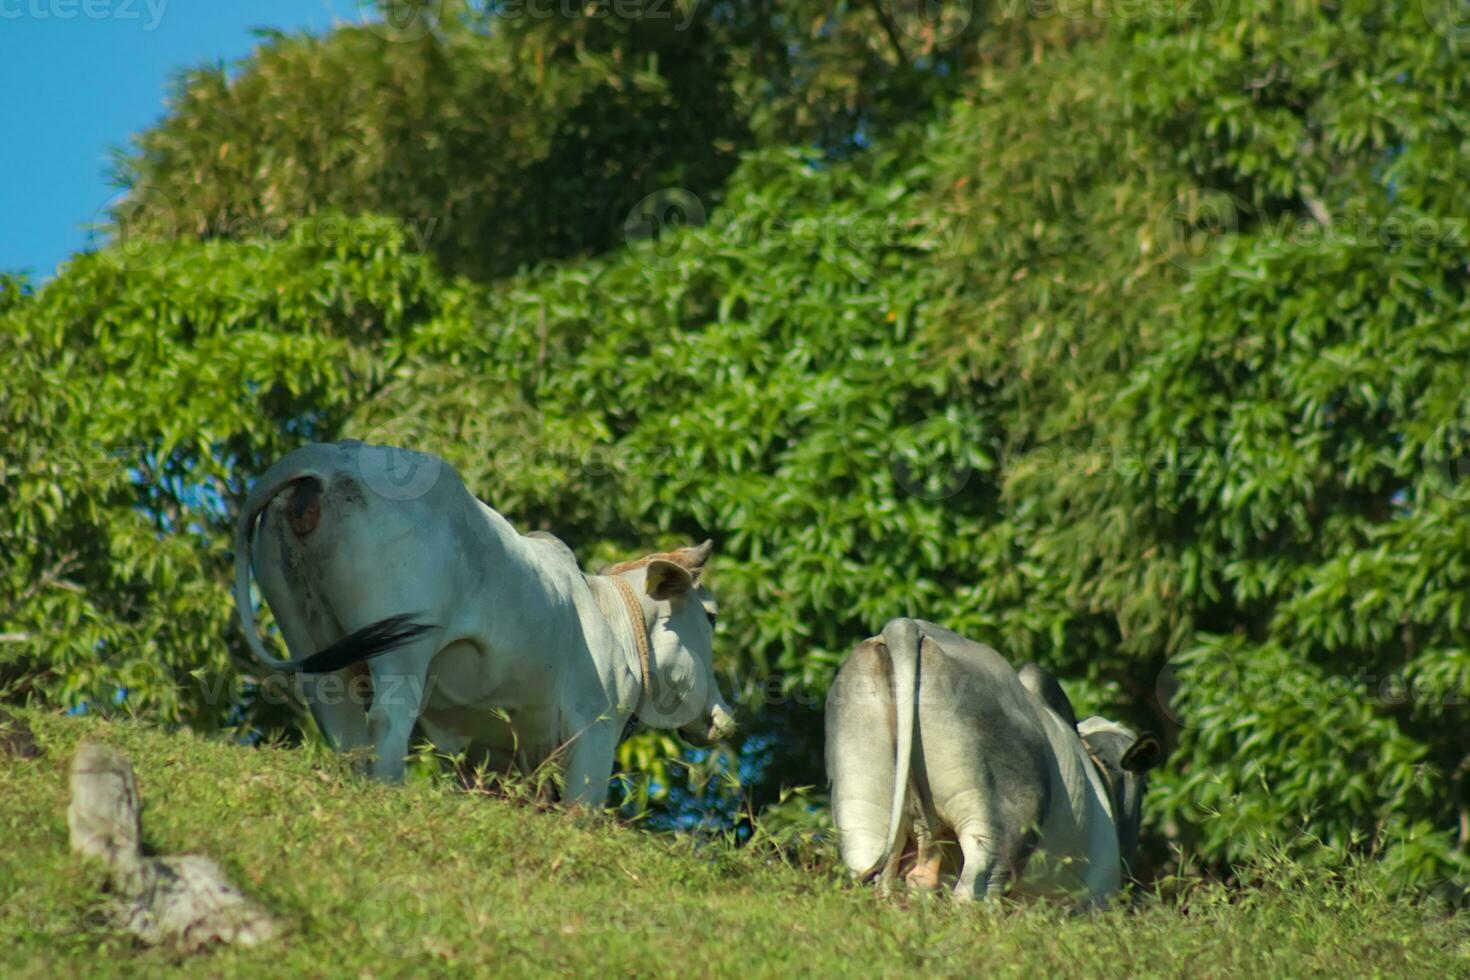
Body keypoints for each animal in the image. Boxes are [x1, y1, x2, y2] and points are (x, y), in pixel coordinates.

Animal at [232, 443, 735, 805]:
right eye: (710, 616)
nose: (722, 716)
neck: (613, 624)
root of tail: (325, 458)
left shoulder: (493, 754)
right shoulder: (593, 736)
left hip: (309, 643)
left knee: (344, 732)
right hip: (402, 651)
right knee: (388, 723)